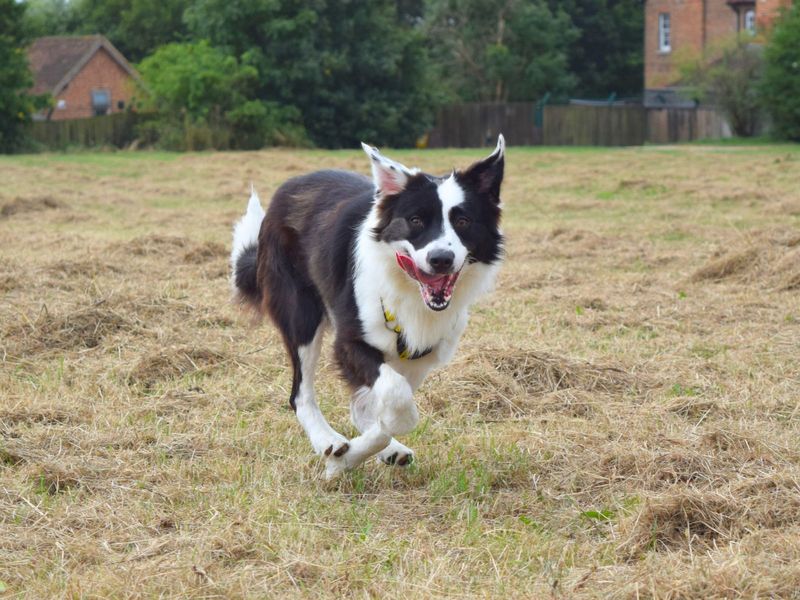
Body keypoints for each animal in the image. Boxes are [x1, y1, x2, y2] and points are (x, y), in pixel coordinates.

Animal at [230, 136, 505, 478]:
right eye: (415, 220)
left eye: (463, 221)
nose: (440, 259)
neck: (406, 288)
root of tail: (289, 187)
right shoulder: (350, 342)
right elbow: (398, 405)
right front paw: (340, 461)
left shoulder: (420, 357)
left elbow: (385, 412)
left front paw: (362, 453)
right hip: (300, 313)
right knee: (300, 394)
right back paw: (327, 440)